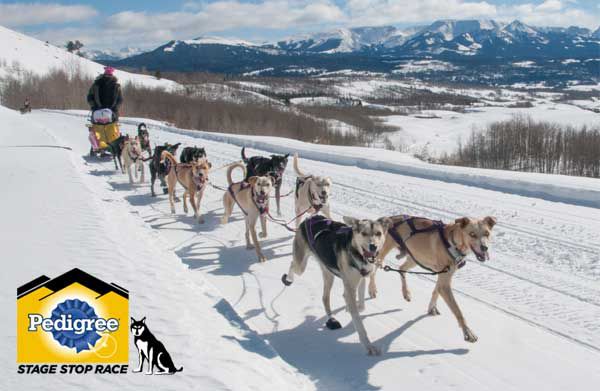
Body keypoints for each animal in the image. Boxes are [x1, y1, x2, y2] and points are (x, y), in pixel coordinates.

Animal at [282, 214, 392, 356]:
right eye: (364, 233)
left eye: (378, 233)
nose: (373, 246)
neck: (357, 253)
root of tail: (311, 217)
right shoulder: (350, 286)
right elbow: (359, 324)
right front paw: (369, 346)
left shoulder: (361, 280)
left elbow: (361, 305)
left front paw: (349, 307)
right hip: (301, 266)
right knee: (292, 265)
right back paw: (288, 279)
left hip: (329, 274)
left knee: (325, 298)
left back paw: (331, 319)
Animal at [370, 216, 496, 344]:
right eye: (472, 234)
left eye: (487, 233)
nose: (484, 247)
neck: (453, 243)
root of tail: (389, 219)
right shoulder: (445, 283)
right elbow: (458, 310)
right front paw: (468, 332)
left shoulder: (444, 277)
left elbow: (436, 291)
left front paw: (432, 308)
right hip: (382, 254)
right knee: (373, 271)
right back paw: (372, 289)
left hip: (415, 258)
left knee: (401, 269)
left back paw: (406, 292)